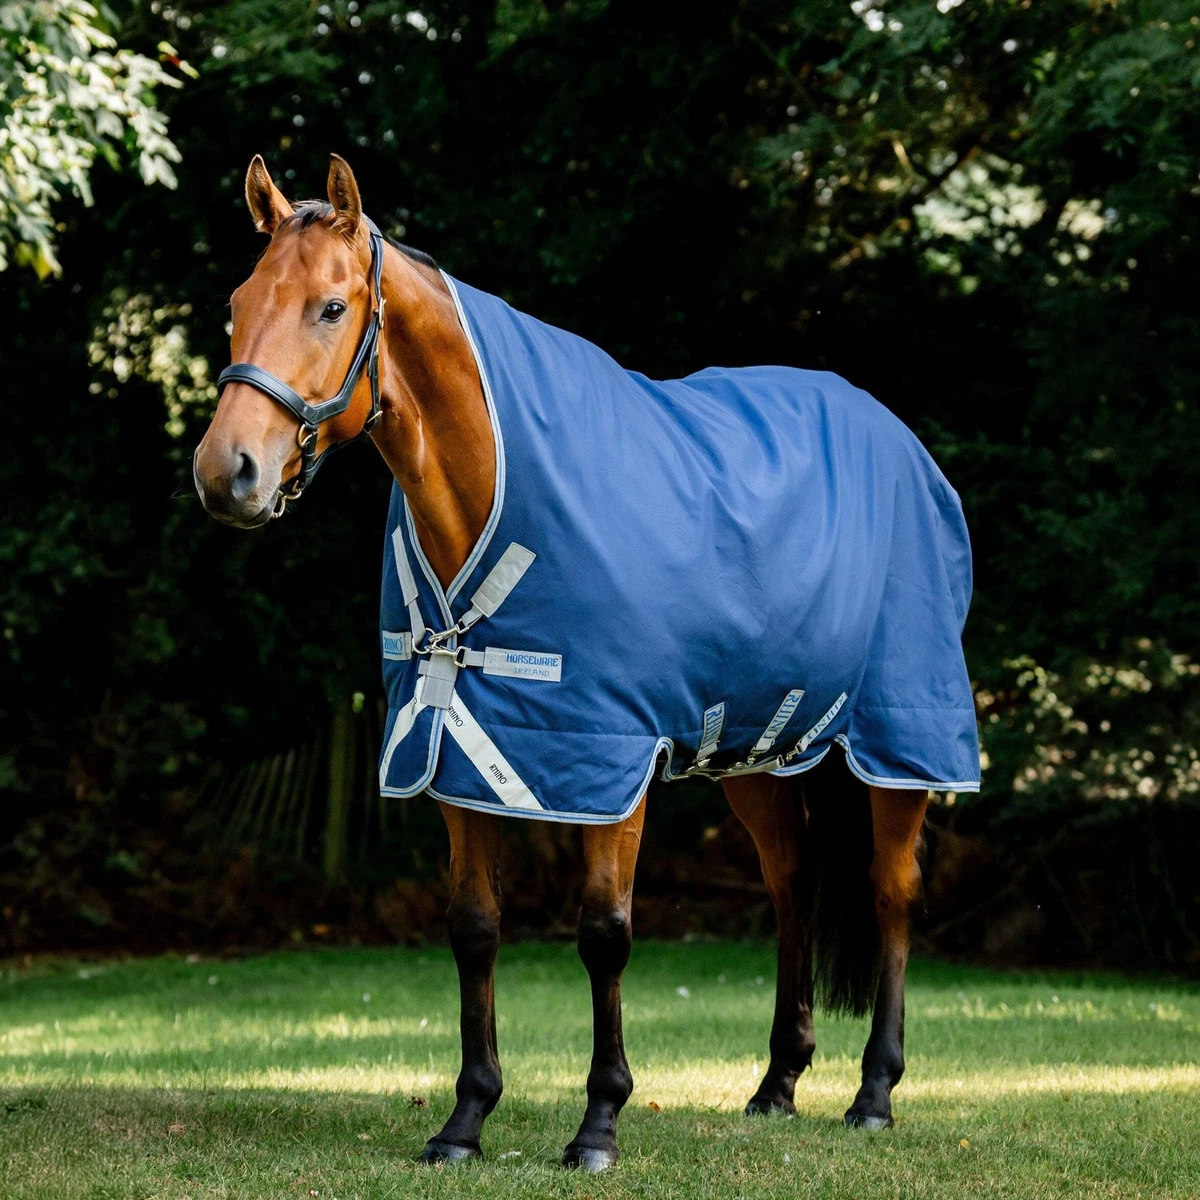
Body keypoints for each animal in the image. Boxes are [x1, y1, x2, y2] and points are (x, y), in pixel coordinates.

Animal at [194, 153, 979, 1171]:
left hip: (900, 738)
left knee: (890, 893)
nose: (228, 473)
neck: (495, 482)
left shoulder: (613, 760)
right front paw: (466, 1119)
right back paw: (776, 1084)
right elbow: (474, 930)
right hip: (759, 752)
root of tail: (899, 438)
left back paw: (875, 1091)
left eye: (331, 308)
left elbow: (605, 934)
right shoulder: (456, 748)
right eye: (238, 303)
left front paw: (599, 1122)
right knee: (794, 883)